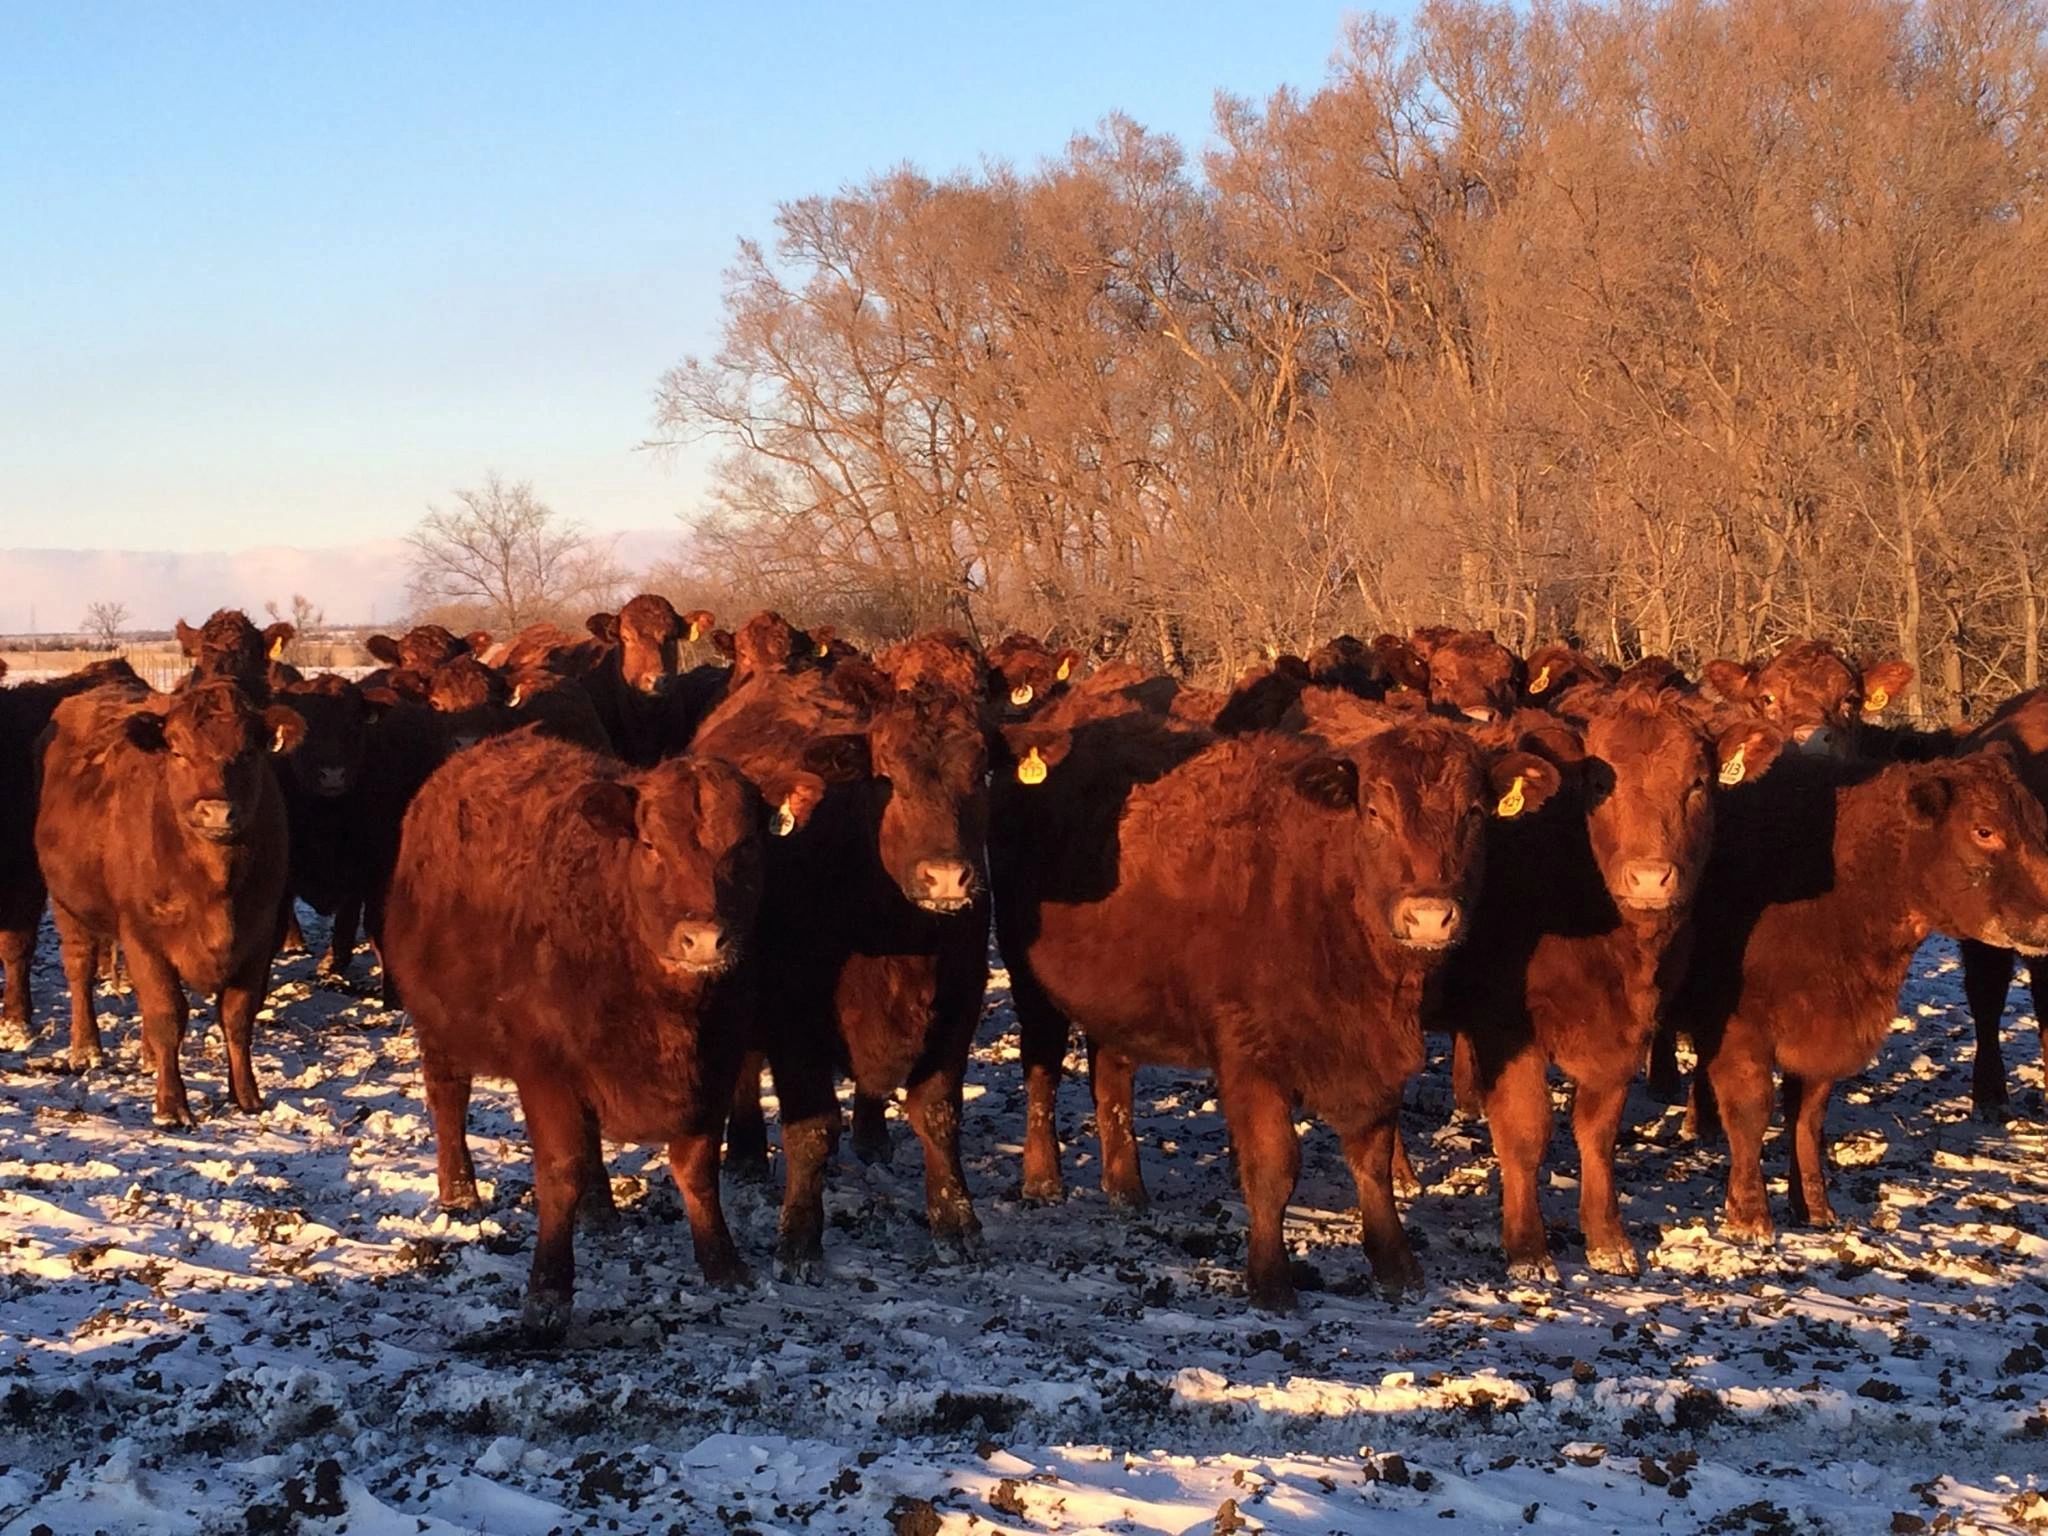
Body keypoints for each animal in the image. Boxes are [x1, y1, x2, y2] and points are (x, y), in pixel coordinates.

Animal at [32, 684, 301, 1130]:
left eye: (249, 751)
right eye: (177, 751)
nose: (216, 811)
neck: (216, 885)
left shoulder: (259, 939)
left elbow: (237, 1017)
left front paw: (247, 1095)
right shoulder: (144, 936)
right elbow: (167, 1015)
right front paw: (172, 1105)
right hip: (67, 905)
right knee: (80, 970)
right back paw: (86, 1049)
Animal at [380, 741, 786, 1343]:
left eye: (746, 846)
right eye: (651, 845)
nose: (704, 938)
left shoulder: (717, 1062)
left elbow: (697, 1169)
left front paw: (724, 1264)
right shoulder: (546, 1069)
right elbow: (560, 1171)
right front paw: (547, 1294)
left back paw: (600, 1210)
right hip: (439, 1024)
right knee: (448, 1100)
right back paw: (460, 1193)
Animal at [991, 708, 1548, 1310]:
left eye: (1473, 813)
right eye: (1375, 812)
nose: (1429, 916)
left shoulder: (1372, 1058)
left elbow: (1372, 1162)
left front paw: (1397, 1265)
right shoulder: (1250, 1057)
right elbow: (1273, 1167)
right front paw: (1270, 1279)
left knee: (1112, 1073)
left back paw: (1126, 1187)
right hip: (1029, 981)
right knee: (1042, 1070)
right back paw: (1043, 1179)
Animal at [1671, 753, 2048, 1245]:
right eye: (1984, 831)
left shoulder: (1822, 1034)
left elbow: (1807, 1118)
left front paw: (1814, 1208)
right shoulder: (1738, 1030)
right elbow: (1752, 1112)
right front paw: (1750, 1218)